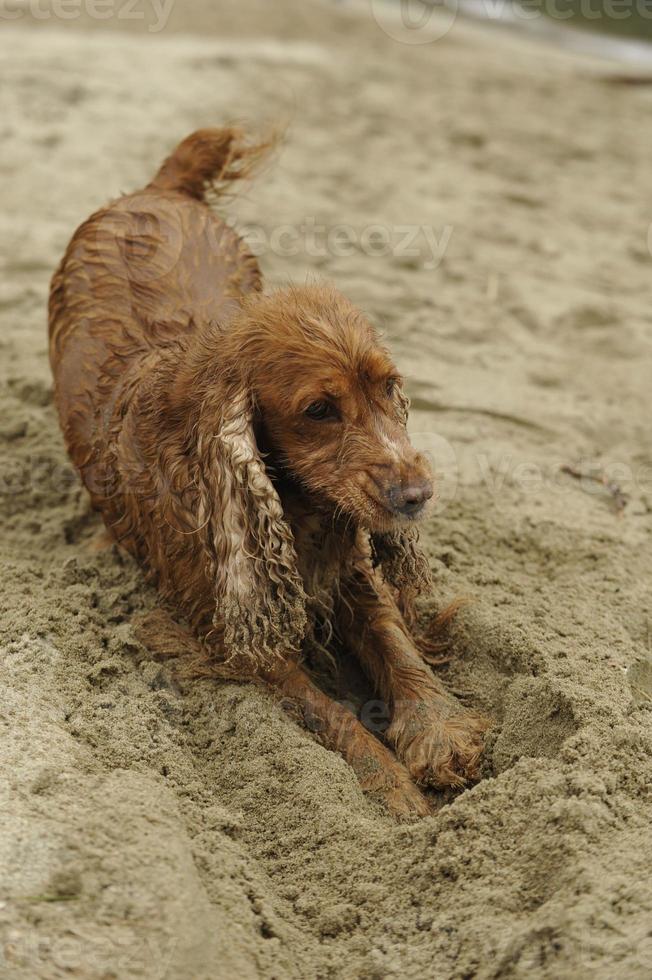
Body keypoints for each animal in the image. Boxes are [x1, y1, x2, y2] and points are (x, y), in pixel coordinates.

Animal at [48, 130, 486, 820]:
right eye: (319, 410)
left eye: (390, 386)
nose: (417, 496)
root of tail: (159, 189)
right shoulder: (237, 629)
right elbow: (332, 713)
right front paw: (393, 787)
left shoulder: (349, 567)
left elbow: (396, 643)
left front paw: (438, 729)